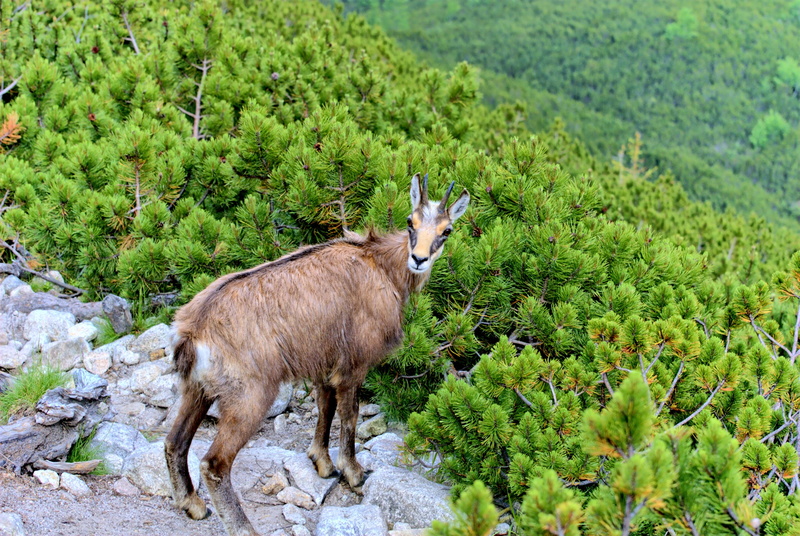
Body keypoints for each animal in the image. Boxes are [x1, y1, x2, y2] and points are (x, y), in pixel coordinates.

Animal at [164, 173, 469, 536]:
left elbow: (325, 408)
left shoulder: (324, 363)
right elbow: (349, 416)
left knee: (175, 441)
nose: (419, 259)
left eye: (446, 230)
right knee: (214, 464)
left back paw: (192, 505)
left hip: (198, 389)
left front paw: (322, 463)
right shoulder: (354, 364)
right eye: (411, 221)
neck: (382, 267)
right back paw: (242, 527)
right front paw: (353, 473)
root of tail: (192, 330)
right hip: (249, 396)